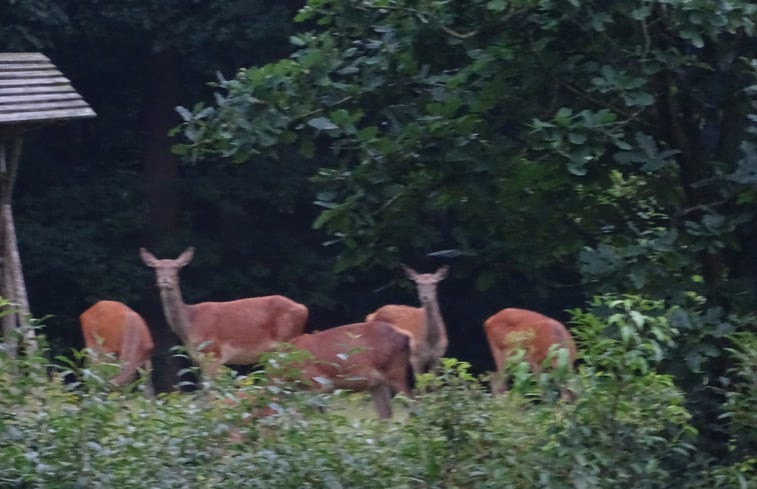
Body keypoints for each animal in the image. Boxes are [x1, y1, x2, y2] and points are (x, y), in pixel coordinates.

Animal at [139, 246, 308, 380]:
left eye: (177, 268)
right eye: (156, 268)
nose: (164, 279)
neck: (191, 325)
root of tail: (303, 309)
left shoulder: (213, 353)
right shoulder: (199, 359)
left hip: (286, 342)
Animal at [284, 320, 414, 420]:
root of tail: (406, 336)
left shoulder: (317, 384)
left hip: (396, 372)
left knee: (412, 404)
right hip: (378, 383)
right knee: (385, 413)